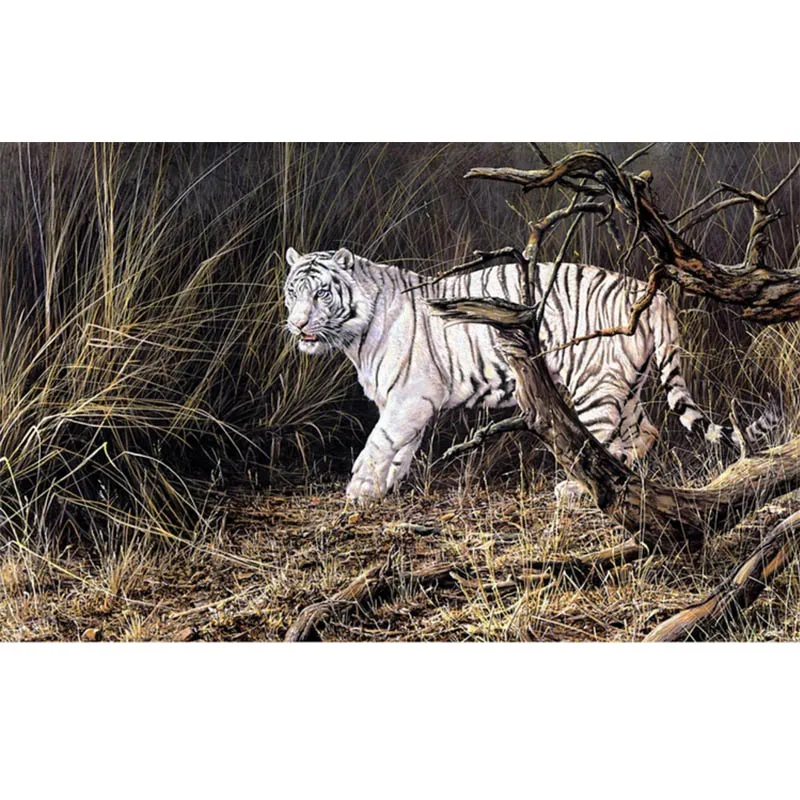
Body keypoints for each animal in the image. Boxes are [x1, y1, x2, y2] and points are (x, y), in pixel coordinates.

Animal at [283, 247, 776, 505]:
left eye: (321, 293)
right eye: (292, 292)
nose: (297, 323)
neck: (353, 336)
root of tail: (647, 291)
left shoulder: (412, 397)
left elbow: (379, 442)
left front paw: (359, 490)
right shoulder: (402, 403)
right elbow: (399, 448)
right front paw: (384, 488)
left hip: (595, 384)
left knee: (599, 439)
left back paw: (577, 488)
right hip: (626, 384)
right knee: (645, 432)